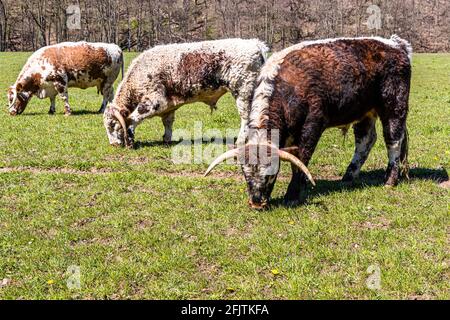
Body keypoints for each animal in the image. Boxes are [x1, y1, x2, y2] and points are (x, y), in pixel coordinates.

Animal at [103, 37, 268, 148]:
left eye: (112, 125)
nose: (113, 145)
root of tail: (254, 43)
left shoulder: (155, 101)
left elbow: (134, 118)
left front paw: (130, 138)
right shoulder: (168, 105)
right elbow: (167, 122)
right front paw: (166, 140)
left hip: (243, 92)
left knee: (245, 118)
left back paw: (240, 141)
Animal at [206, 35, 414, 210]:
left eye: (271, 173)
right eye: (245, 173)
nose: (256, 203)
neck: (288, 88)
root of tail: (396, 45)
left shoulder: (312, 126)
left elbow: (301, 158)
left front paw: (293, 194)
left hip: (394, 106)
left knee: (393, 140)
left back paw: (390, 180)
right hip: (364, 112)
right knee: (365, 141)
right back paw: (348, 177)